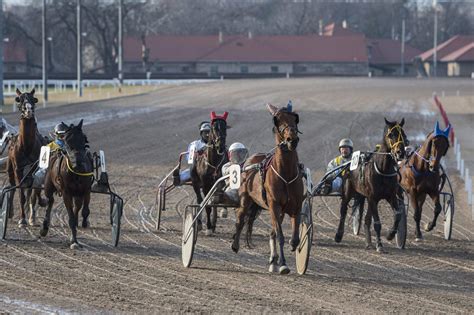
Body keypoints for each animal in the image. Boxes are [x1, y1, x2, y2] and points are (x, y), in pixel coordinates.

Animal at [6, 88, 47, 227]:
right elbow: (20, 193)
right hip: (10, 168)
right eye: (19, 99)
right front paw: (22, 219)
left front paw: (30, 218)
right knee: (12, 186)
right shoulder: (18, 169)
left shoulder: (33, 168)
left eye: (33, 99)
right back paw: (11, 212)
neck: (26, 146)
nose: (29, 109)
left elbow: (31, 192)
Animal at [40, 120, 94, 249]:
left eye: (84, 139)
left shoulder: (86, 190)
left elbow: (84, 211)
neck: (76, 172)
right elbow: (71, 219)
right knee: (50, 201)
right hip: (48, 186)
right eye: (67, 141)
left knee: (77, 206)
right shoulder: (66, 193)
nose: (79, 163)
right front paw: (74, 241)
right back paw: (44, 227)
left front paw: (84, 222)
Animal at [232, 103, 304, 274]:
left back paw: (273, 260)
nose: (292, 139)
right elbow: (280, 236)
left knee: (271, 231)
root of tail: (249, 161)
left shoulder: (296, 206)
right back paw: (235, 245)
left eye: (295, 118)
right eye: (277, 120)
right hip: (246, 200)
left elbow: (294, 238)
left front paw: (289, 251)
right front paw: (283, 264)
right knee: (240, 219)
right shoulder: (274, 204)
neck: (286, 174)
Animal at [336, 117, 410, 253]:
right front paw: (380, 245)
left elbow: (397, 215)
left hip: (367, 197)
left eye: (404, 134)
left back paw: (368, 242)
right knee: (343, 210)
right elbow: (377, 223)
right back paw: (338, 235)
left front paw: (390, 235)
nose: (400, 152)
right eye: (391, 135)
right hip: (349, 191)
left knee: (366, 219)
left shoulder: (390, 196)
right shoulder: (373, 197)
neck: (383, 169)